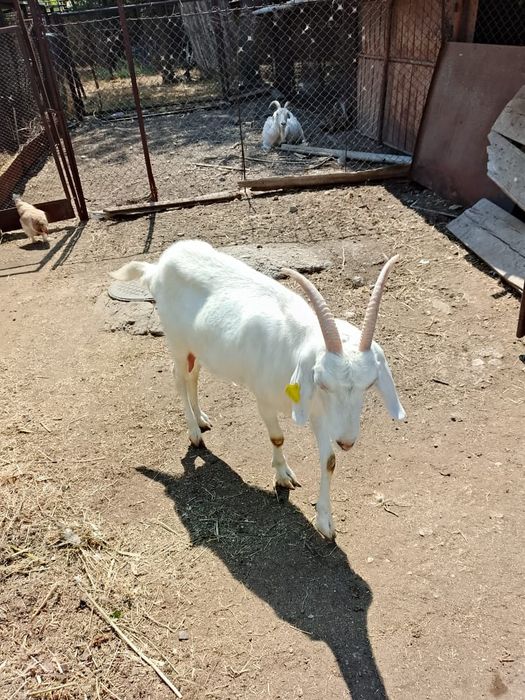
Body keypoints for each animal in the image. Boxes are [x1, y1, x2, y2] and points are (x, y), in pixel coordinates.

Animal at [111, 241, 405, 540]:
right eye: (322, 381)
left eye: (369, 383)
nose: (347, 441)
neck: (294, 346)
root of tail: (159, 266)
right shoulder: (264, 399)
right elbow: (277, 438)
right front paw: (283, 476)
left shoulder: (319, 413)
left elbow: (329, 461)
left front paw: (325, 524)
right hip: (177, 342)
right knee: (179, 378)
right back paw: (194, 433)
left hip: (199, 347)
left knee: (193, 376)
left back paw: (201, 419)